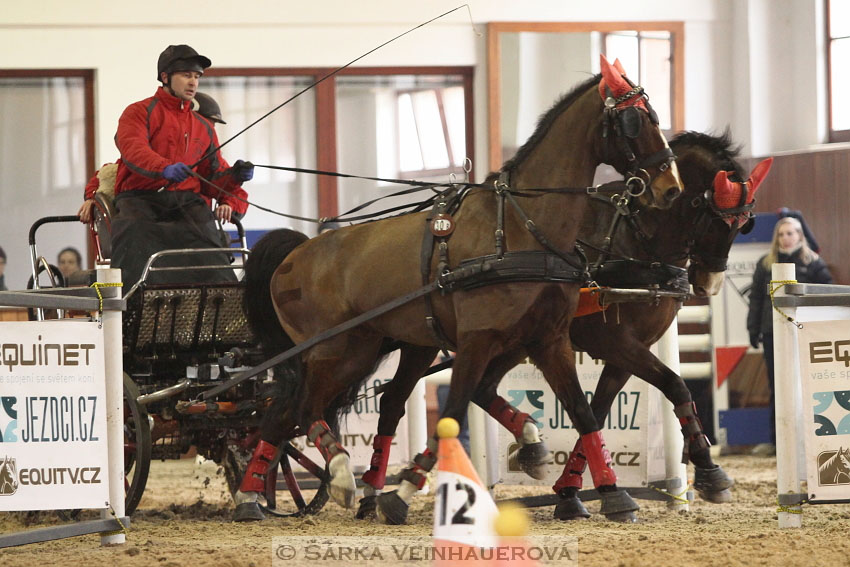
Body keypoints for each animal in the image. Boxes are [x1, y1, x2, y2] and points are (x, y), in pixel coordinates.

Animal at [234, 57, 684, 524]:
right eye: (635, 121)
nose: (671, 187)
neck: (521, 228)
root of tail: (296, 253)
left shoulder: (549, 340)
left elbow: (582, 413)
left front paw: (611, 491)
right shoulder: (477, 340)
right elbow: (452, 413)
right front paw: (404, 492)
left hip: (374, 347)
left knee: (300, 411)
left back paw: (266, 495)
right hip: (334, 350)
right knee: (300, 408)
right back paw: (332, 478)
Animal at [354, 130, 772, 524]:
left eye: (743, 224)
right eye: (710, 213)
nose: (709, 284)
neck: (633, 240)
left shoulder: (623, 350)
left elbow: (596, 411)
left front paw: (571, 491)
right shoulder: (612, 341)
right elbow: (674, 385)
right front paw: (709, 471)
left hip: (508, 341)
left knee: (476, 389)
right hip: (420, 340)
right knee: (394, 399)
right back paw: (374, 490)